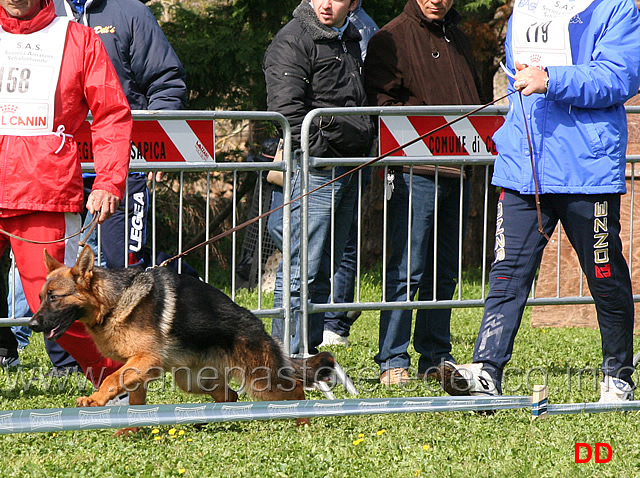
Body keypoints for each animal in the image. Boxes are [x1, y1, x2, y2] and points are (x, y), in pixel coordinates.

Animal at [30, 246, 336, 434]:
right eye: (41, 297)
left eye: (54, 297)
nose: (32, 325)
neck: (114, 301)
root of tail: (261, 328)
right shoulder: (138, 368)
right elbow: (134, 401)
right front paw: (129, 431)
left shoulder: (144, 361)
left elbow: (111, 379)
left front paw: (95, 400)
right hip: (191, 380)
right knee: (230, 395)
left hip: (261, 383)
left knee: (297, 389)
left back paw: (303, 421)